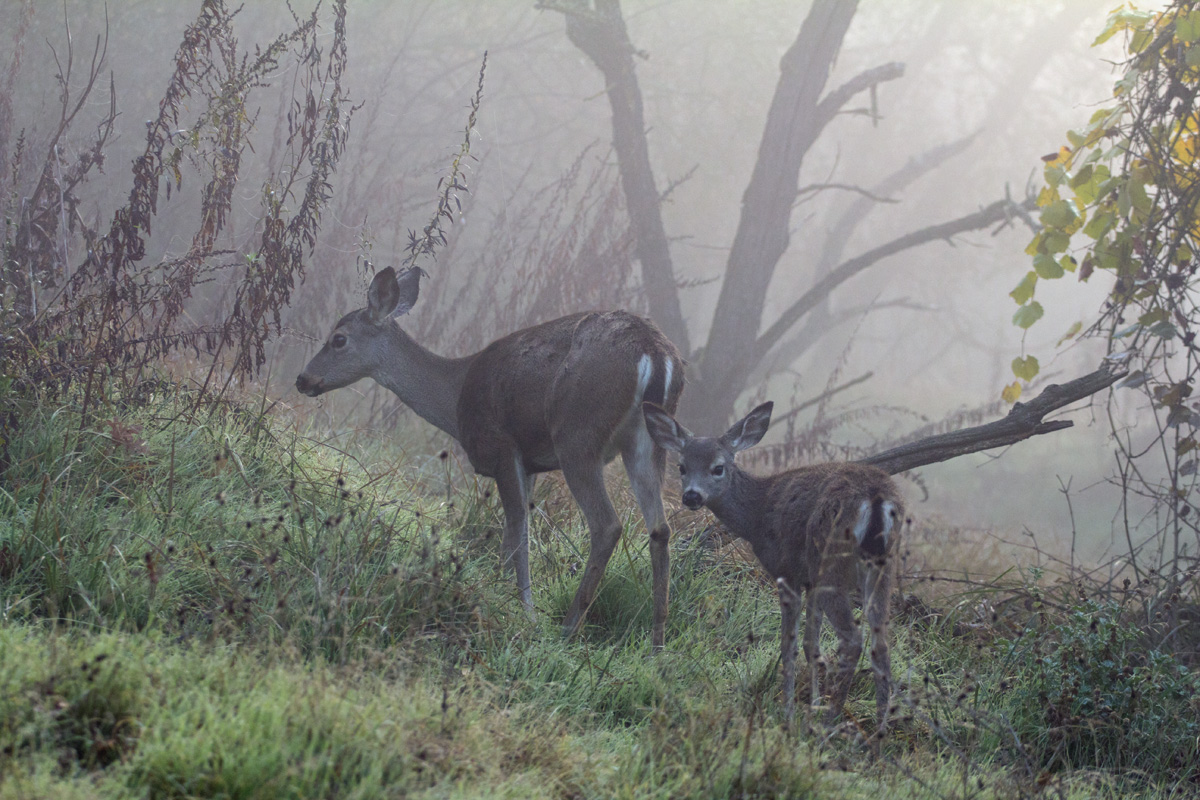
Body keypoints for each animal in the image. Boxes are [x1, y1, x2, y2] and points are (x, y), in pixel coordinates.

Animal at [296, 266, 686, 649]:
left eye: (339, 338)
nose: (303, 379)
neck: (454, 399)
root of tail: (656, 354)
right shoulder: (530, 463)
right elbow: (511, 533)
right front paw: (497, 590)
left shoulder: (501, 445)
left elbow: (518, 528)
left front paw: (525, 611)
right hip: (646, 443)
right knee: (660, 528)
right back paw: (657, 643)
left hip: (577, 435)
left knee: (607, 525)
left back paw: (569, 628)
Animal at [642, 400, 904, 740]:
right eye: (682, 466)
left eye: (718, 467)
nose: (691, 496)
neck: (758, 512)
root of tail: (875, 498)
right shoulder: (809, 579)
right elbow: (811, 644)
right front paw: (811, 704)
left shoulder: (786, 570)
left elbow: (788, 644)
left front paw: (790, 713)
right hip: (882, 567)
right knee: (881, 641)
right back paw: (878, 731)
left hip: (829, 559)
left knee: (853, 639)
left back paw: (830, 722)